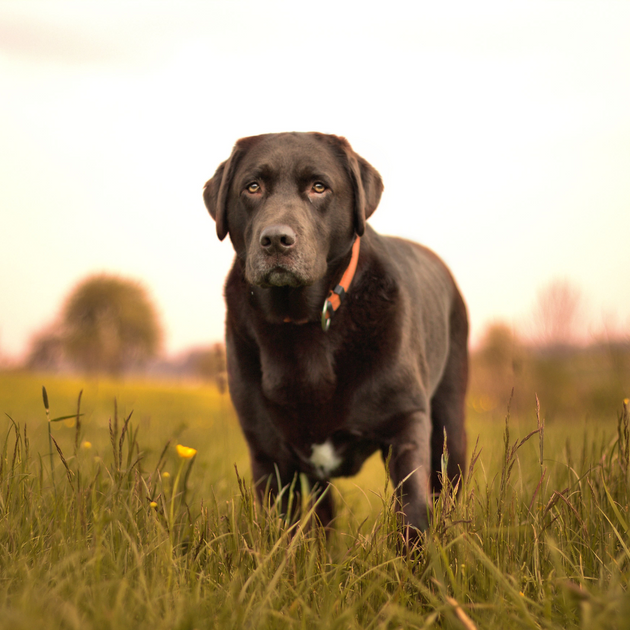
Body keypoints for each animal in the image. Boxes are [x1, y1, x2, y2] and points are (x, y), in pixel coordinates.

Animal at [202, 133, 470, 540]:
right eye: (252, 187)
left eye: (319, 187)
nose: (276, 239)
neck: (301, 322)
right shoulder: (269, 453)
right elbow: (282, 532)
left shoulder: (406, 422)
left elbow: (412, 509)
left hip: (450, 425)